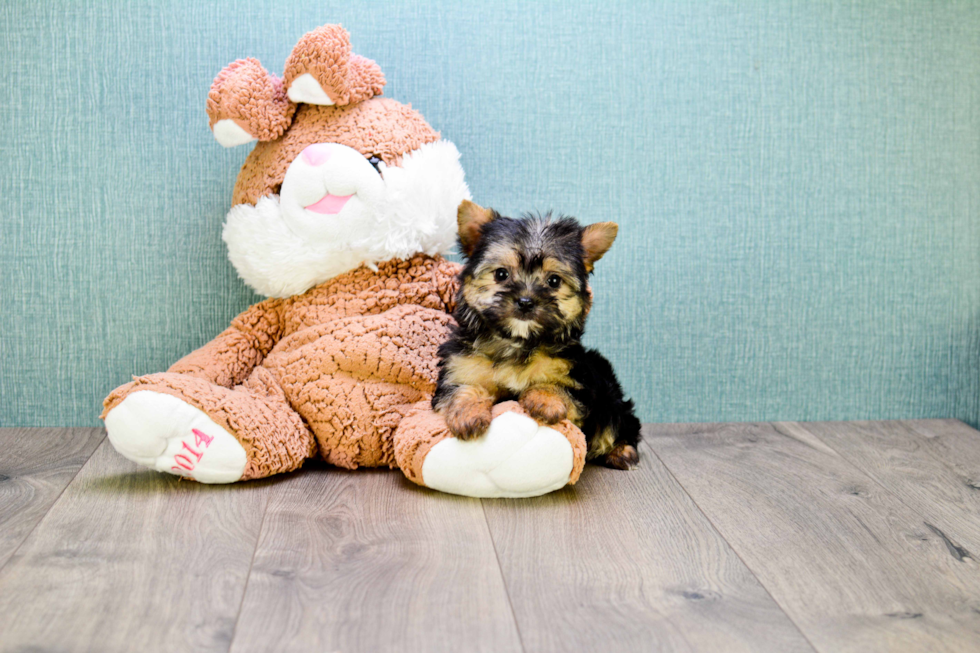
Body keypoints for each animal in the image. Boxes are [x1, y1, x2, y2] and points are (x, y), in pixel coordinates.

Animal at [432, 200, 640, 468]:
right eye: (501, 274)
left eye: (554, 281)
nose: (526, 301)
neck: (517, 341)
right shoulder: (460, 366)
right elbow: (462, 388)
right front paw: (468, 414)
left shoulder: (577, 377)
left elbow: (560, 387)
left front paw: (546, 400)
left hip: (609, 395)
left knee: (619, 423)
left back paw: (621, 451)